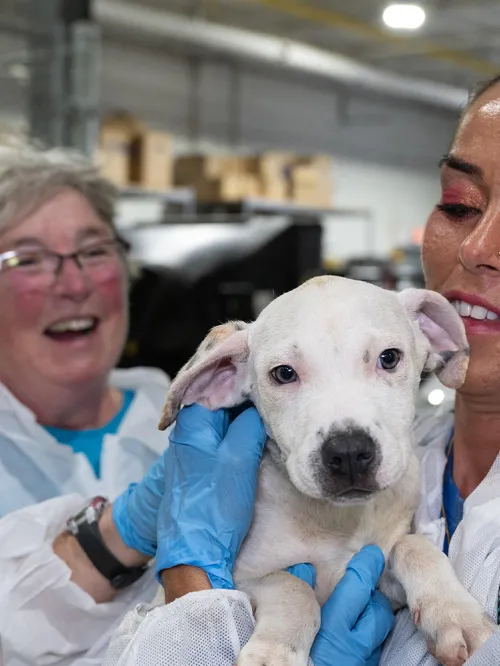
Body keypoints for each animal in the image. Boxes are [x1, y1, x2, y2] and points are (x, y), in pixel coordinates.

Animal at [158, 274, 494, 664]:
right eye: (283, 374)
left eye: (389, 358)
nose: (348, 453)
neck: (336, 521)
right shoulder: (240, 578)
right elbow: (293, 586)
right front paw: (276, 650)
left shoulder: (378, 578)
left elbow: (413, 546)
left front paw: (456, 615)